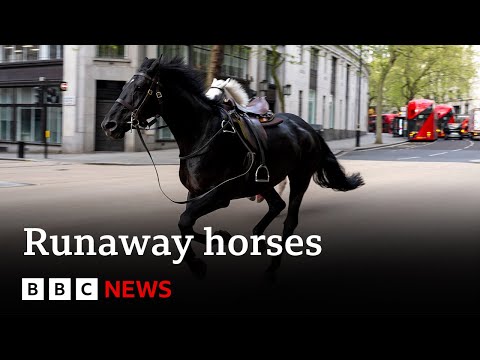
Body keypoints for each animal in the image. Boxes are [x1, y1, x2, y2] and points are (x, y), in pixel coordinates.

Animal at [101, 56, 364, 278]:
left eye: (138, 88)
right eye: (124, 86)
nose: (109, 124)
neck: (203, 134)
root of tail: (310, 129)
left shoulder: (219, 195)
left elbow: (184, 221)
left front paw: (204, 255)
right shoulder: (195, 192)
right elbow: (185, 226)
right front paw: (217, 241)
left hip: (300, 178)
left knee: (289, 220)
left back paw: (272, 265)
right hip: (264, 181)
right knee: (276, 205)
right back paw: (260, 241)